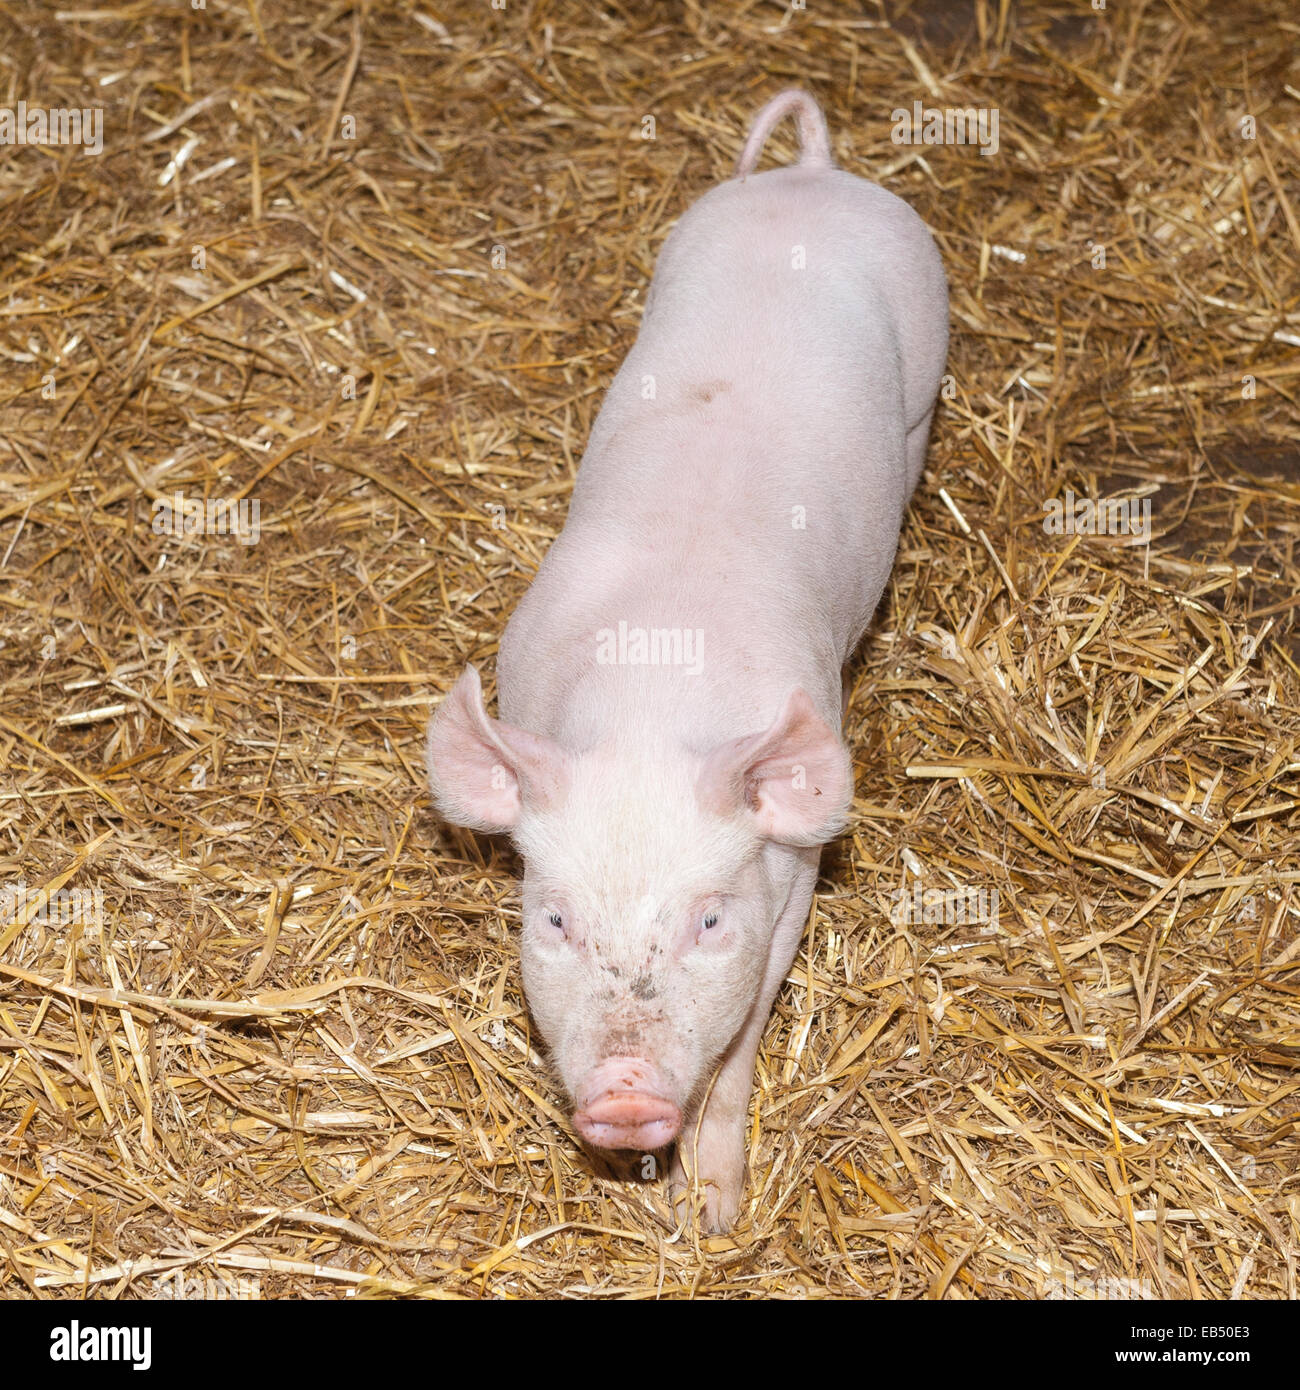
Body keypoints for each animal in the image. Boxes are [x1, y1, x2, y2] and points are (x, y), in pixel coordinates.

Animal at [428, 92, 945, 1234]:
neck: (649, 707)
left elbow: (744, 1039)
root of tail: (812, 174)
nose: (625, 1094)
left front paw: (711, 1216)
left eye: (708, 919)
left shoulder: (790, 882)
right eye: (557, 918)